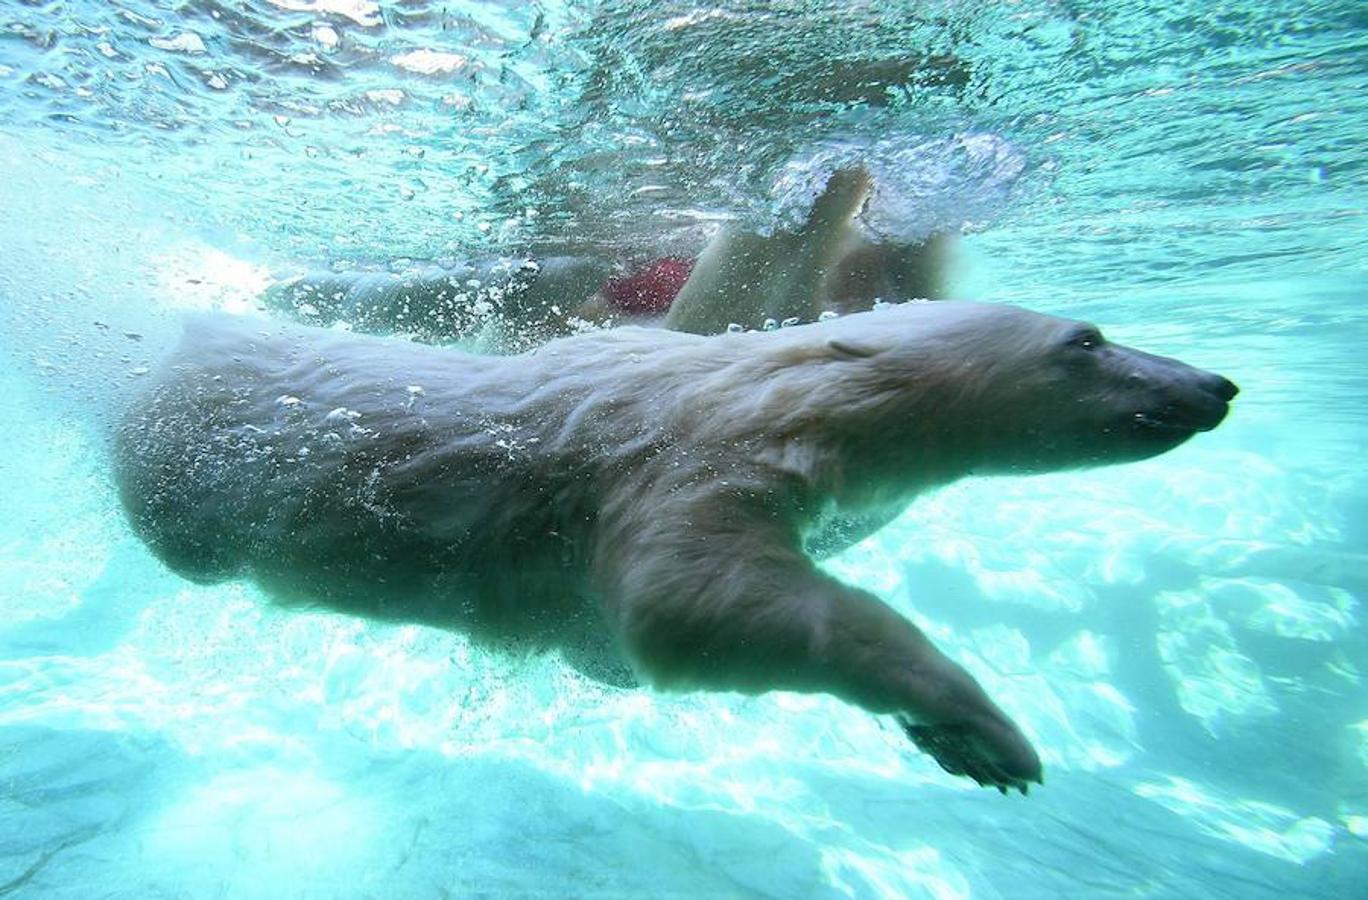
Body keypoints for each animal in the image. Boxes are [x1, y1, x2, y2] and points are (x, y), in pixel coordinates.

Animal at [112, 299, 1236, 787]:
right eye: (1085, 340)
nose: (1216, 384)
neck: (779, 394)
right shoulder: (681, 464)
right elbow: (692, 605)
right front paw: (984, 730)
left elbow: (608, 638)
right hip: (183, 464)